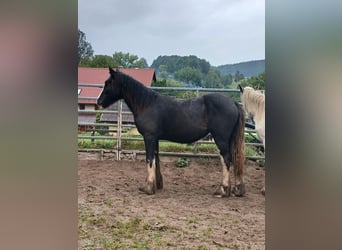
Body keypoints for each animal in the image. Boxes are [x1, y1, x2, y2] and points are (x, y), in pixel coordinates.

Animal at [97, 68, 244, 197]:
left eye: (108, 83)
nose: (98, 102)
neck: (146, 103)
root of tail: (233, 103)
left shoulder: (149, 137)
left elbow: (149, 159)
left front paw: (148, 187)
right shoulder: (155, 138)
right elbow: (156, 158)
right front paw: (157, 184)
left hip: (221, 139)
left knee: (226, 159)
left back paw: (223, 190)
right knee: (234, 158)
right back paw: (236, 189)